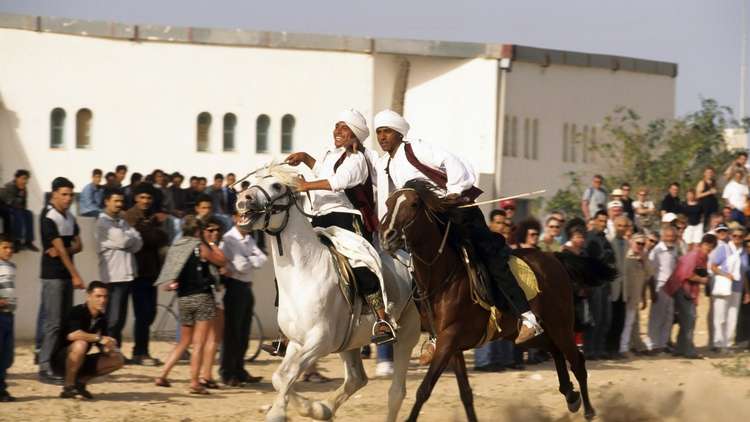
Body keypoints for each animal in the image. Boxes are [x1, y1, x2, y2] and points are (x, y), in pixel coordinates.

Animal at [235, 165, 421, 422]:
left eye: (277, 185)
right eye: (251, 181)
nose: (244, 199)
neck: (304, 272)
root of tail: (406, 258)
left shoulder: (320, 341)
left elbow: (287, 375)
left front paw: (279, 412)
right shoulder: (296, 342)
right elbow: (279, 377)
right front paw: (310, 407)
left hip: (407, 334)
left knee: (396, 392)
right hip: (350, 341)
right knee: (356, 379)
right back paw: (324, 408)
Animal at [379, 179, 617, 421]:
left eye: (414, 204)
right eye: (388, 203)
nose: (387, 236)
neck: (444, 277)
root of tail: (555, 258)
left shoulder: (449, 339)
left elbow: (424, 389)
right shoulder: (452, 345)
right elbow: (465, 393)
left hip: (560, 324)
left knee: (577, 361)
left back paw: (588, 410)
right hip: (525, 335)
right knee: (555, 351)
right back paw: (570, 395)